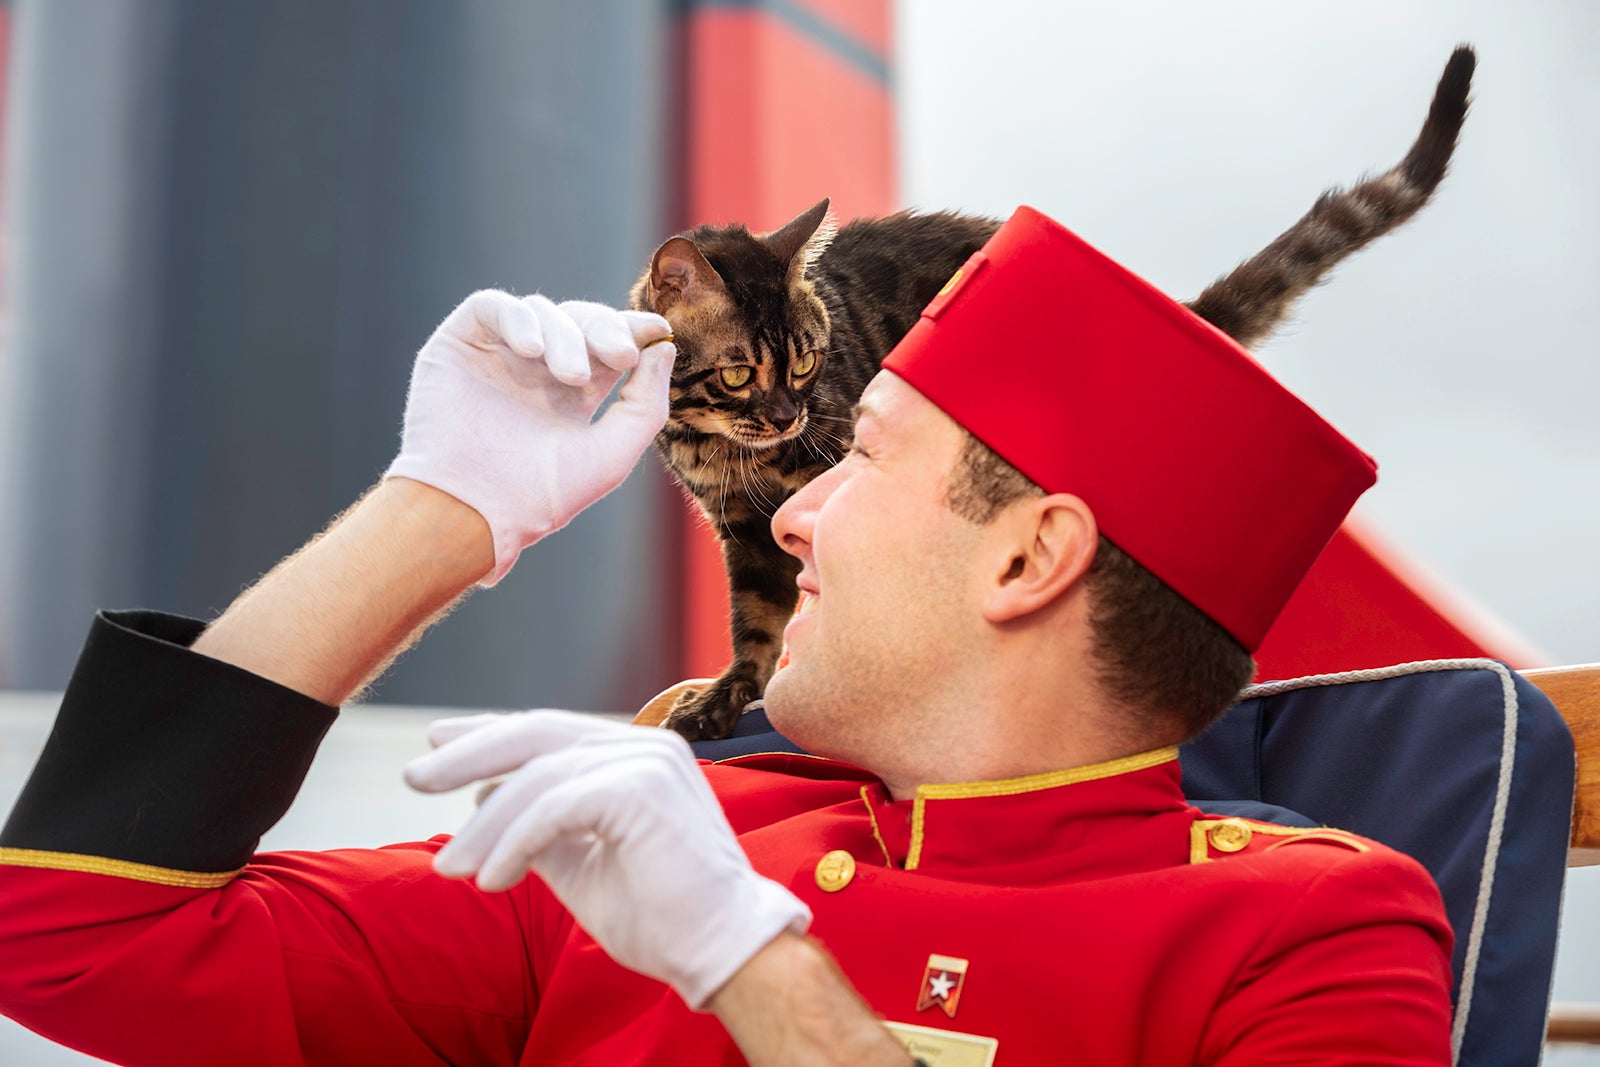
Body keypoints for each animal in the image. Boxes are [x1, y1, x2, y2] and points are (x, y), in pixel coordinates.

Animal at [633, 43, 1472, 742]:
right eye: (740, 373)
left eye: (807, 361)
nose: (787, 417)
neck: (717, 443)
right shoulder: (743, 526)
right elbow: (757, 619)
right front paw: (726, 694)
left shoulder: (829, 480)